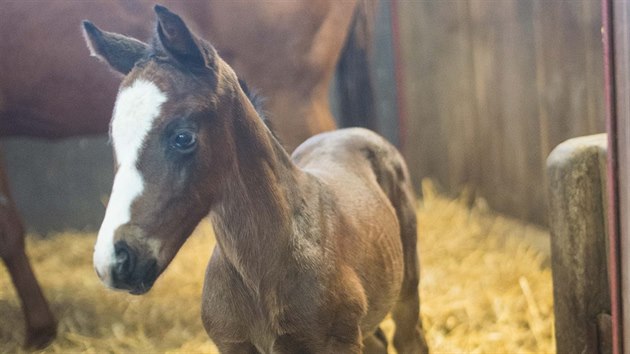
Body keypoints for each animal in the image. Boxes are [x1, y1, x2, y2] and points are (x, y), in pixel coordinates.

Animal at [82, 5, 430, 354]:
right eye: (114, 138)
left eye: (183, 137)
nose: (115, 260)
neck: (259, 275)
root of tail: (352, 131)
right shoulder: (233, 344)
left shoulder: (337, 342)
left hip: (406, 287)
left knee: (410, 338)